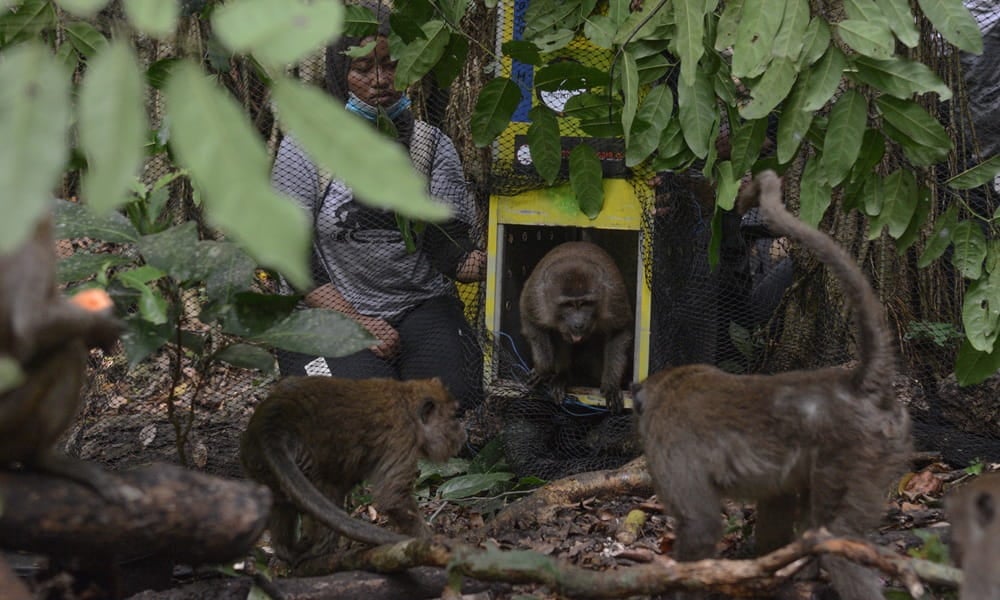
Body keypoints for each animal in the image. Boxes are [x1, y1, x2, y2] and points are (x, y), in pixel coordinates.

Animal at [240, 375, 467, 563]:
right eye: (453, 417)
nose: (462, 433)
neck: (407, 404)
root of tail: (272, 422)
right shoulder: (403, 438)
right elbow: (394, 499)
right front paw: (426, 540)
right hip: (303, 458)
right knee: (327, 490)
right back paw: (320, 551)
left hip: (258, 465)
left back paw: (286, 550)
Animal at [519, 241, 633, 414]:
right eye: (568, 305)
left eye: (585, 304)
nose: (578, 324)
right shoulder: (536, 297)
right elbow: (530, 319)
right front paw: (543, 369)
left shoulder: (612, 296)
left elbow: (619, 330)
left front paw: (611, 385)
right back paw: (562, 375)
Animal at [632, 170, 911, 600]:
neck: (674, 385)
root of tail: (855, 383)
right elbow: (777, 501)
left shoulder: (667, 440)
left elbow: (700, 524)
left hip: (857, 454)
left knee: (835, 538)